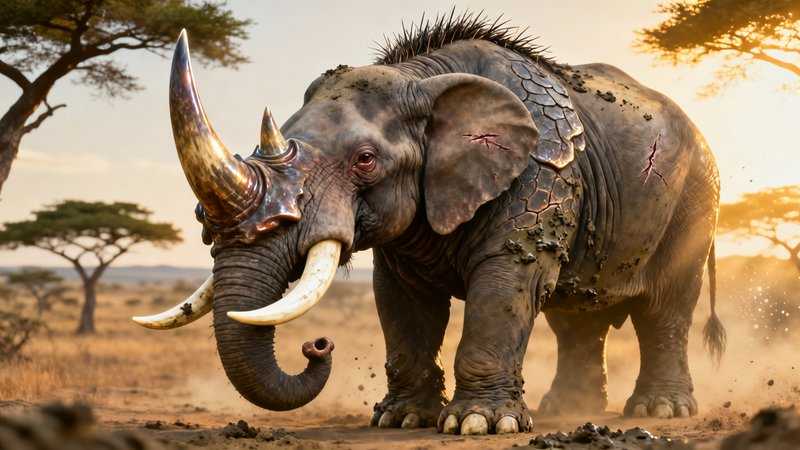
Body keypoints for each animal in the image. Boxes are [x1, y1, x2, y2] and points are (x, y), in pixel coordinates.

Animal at [134, 12, 725, 436]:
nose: (317, 346)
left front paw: (477, 425)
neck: (421, 79)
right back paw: (567, 407)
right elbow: (400, 299)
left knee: (665, 308)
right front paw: (399, 420)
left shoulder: (539, 173)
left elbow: (507, 284)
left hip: (696, 198)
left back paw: (660, 411)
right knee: (575, 318)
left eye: (365, 160)